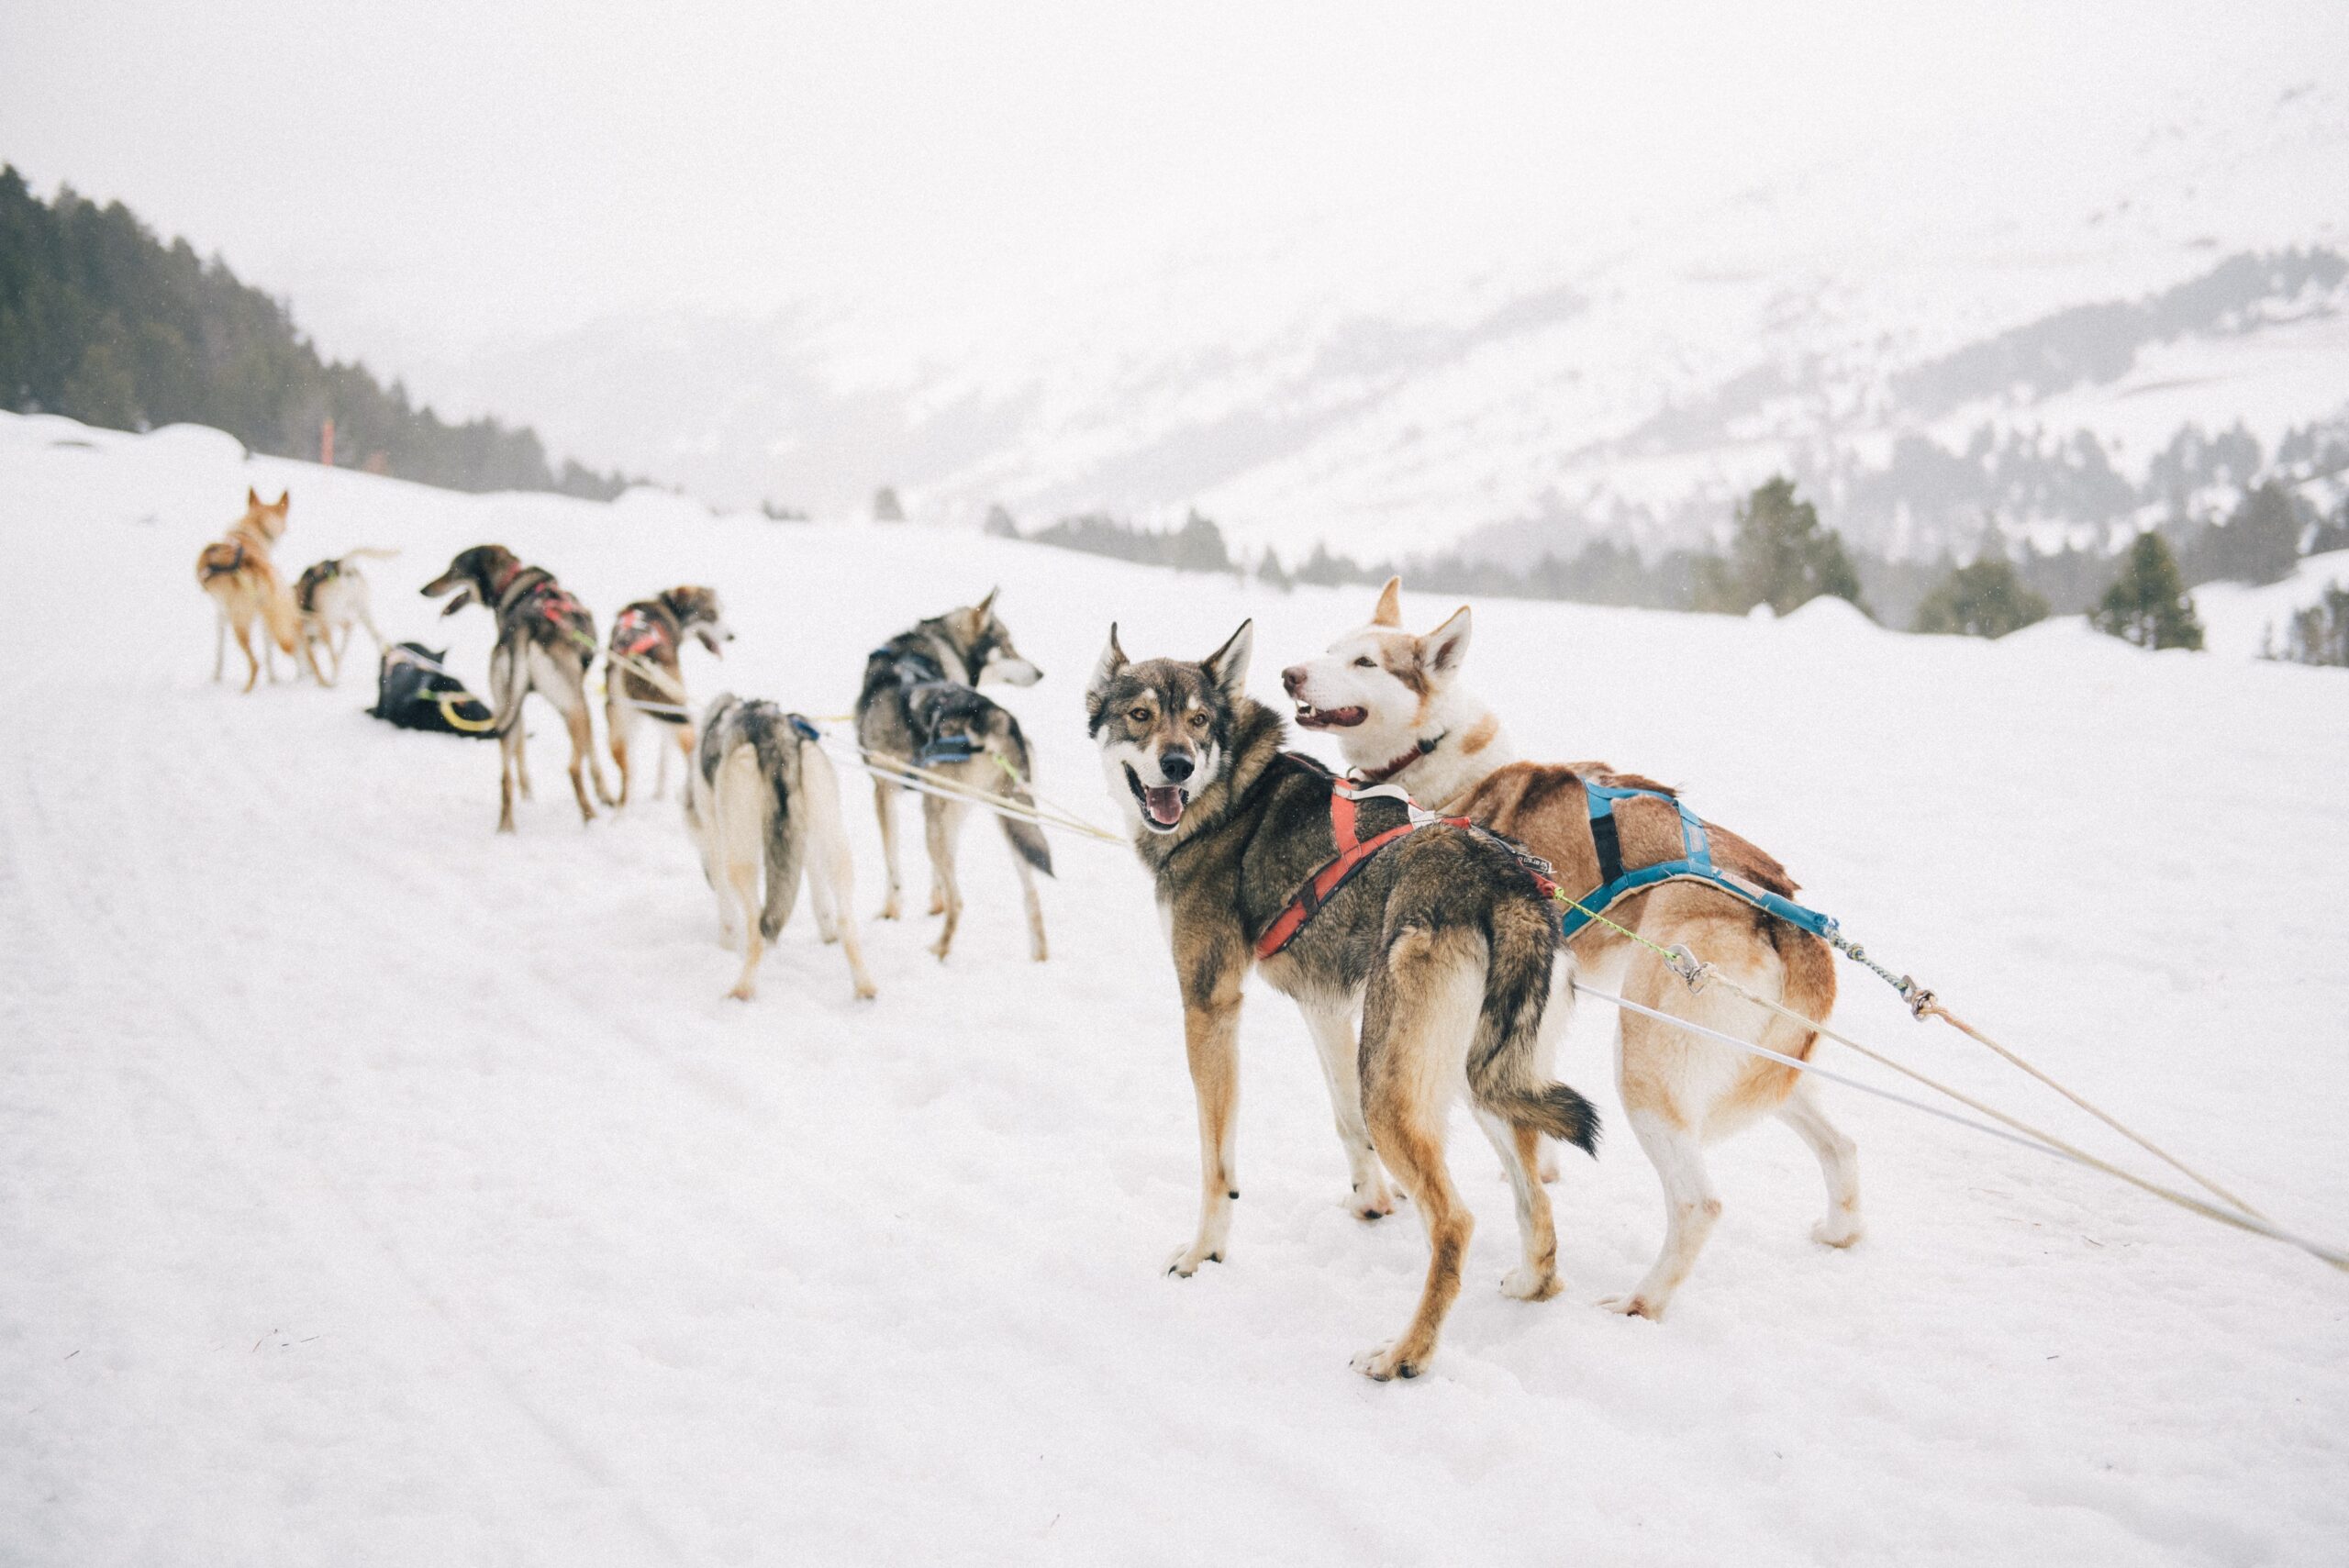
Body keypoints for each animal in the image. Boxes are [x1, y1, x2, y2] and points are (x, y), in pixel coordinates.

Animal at [690, 699, 883, 1004]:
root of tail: (777, 740)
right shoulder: (806, 844)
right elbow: (820, 902)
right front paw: (827, 935)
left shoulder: (715, 840)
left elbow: (728, 917)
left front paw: (725, 948)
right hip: (835, 846)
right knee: (845, 922)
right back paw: (864, 986)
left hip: (740, 861)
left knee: (756, 927)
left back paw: (742, 988)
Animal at [1277, 579, 1860, 1323]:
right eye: (1330, 649)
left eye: (1364, 663)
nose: (1290, 674)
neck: (1441, 768)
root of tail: (1780, 905)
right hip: (1761, 1064)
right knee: (1841, 1144)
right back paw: (1840, 1230)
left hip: (1646, 1063)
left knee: (1699, 1201)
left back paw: (1640, 1302)